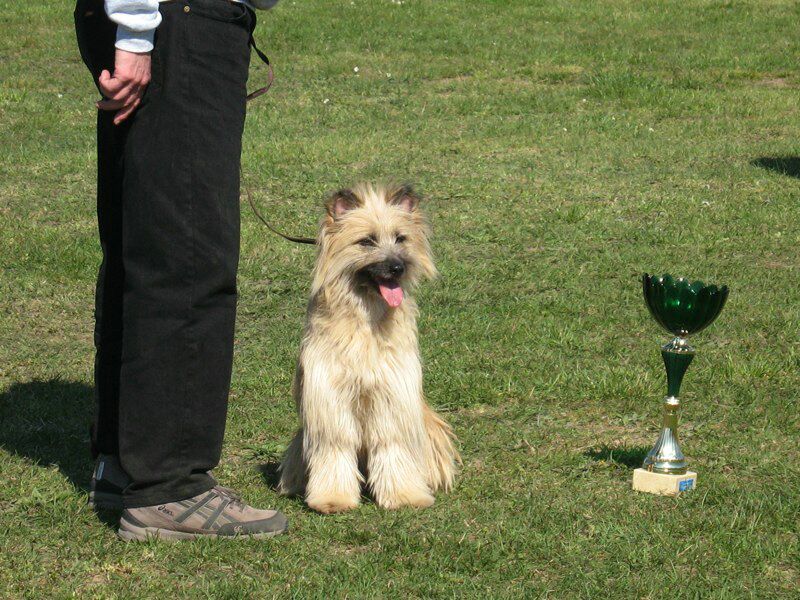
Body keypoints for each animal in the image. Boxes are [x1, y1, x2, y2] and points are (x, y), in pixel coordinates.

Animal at [278, 182, 460, 510]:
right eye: (366, 241)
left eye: (400, 238)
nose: (397, 267)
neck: (367, 319)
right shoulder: (330, 397)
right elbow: (335, 447)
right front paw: (333, 498)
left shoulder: (391, 395)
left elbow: (392, 445)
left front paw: (404, 495)